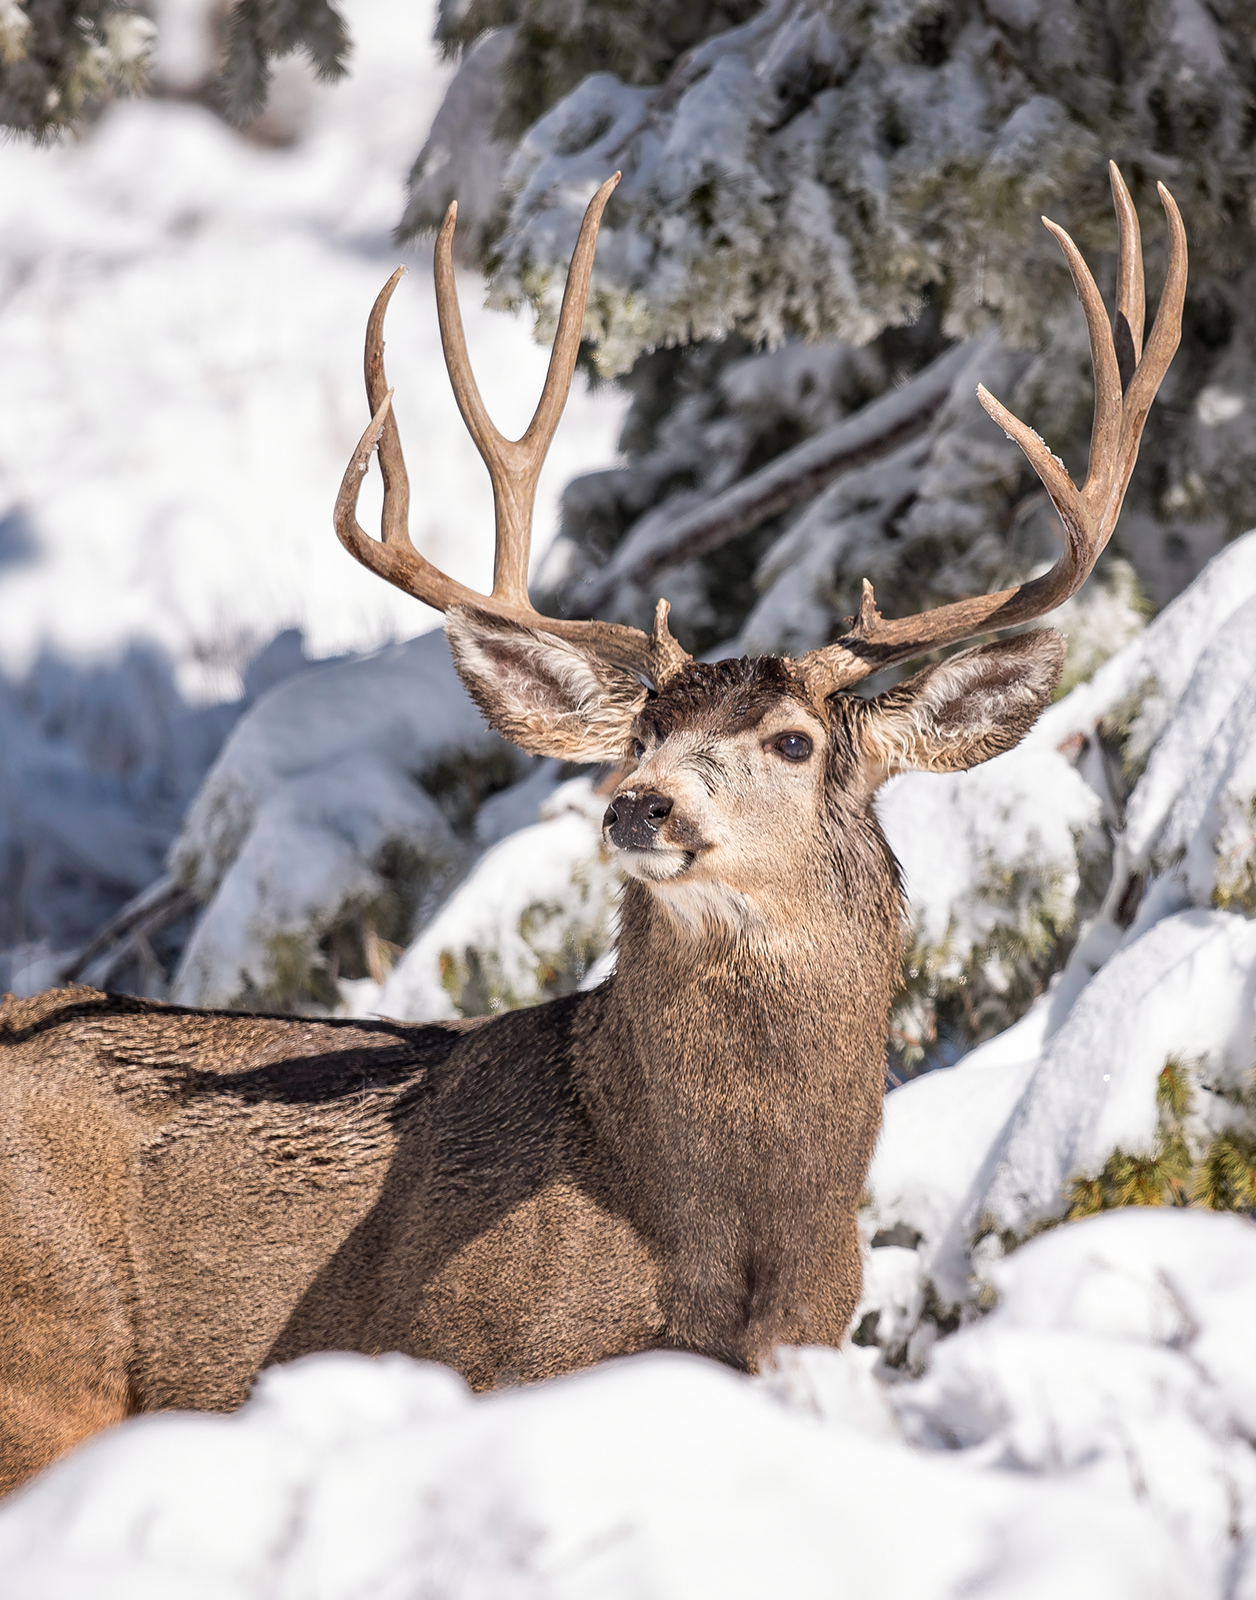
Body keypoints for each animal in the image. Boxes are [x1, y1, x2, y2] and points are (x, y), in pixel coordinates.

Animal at [0, 163, 1185, 1494]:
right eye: (639, 735)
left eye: (793, 741)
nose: (638, 803)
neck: (727, 1228)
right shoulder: (469, 1354)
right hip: (44, 1358)